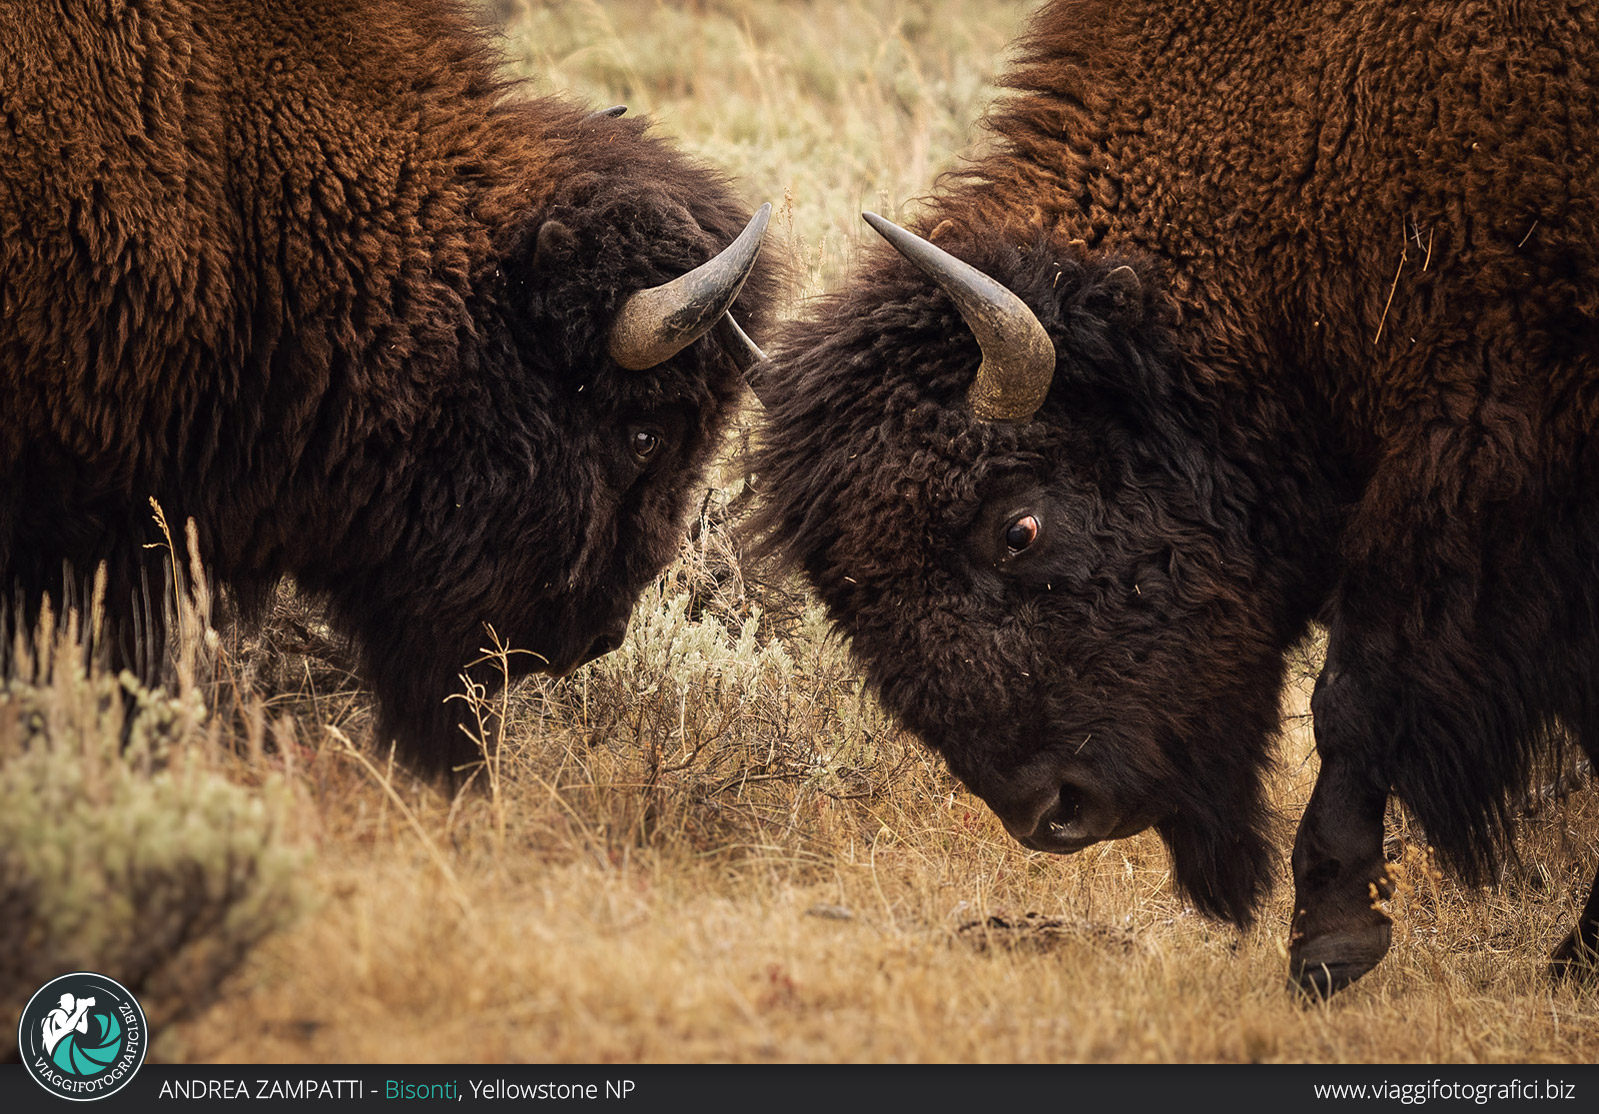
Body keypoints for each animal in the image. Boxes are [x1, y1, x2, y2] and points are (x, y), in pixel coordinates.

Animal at [748, 0, 1599, 990]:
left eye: (1018, 529)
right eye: (843, 600)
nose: (1050, 813)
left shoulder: (1471, 460)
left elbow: (1354, 692)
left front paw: (1329, 938)